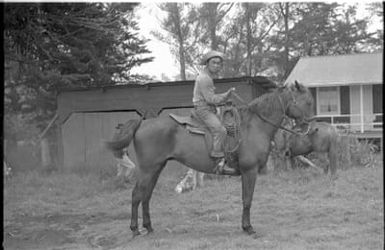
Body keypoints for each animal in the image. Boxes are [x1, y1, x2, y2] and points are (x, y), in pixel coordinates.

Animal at [106, 80, 316, 236]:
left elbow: (246, 199)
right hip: (147, 169)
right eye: (307, 102)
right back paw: (135, 229)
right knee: (136, 195)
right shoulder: (250, 171)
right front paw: (248, 228)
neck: (254, 126)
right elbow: (247, 199)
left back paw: (148, 227)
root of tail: (142, 123)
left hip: (156, 169)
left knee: (146, 196)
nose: (311, 128)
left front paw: (245, 226)